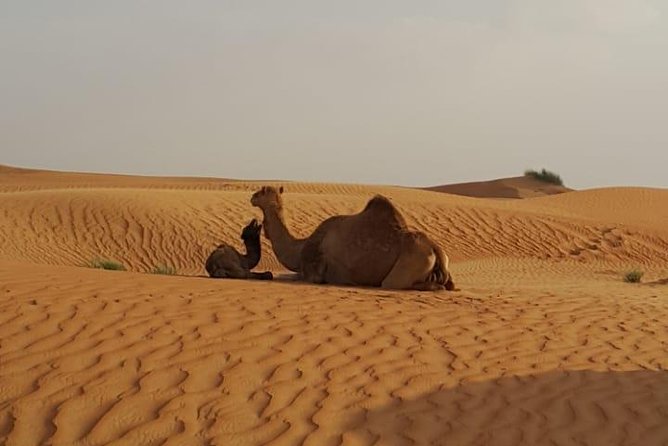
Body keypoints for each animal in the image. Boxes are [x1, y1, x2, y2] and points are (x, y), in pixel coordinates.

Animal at [250, 186, 454, 290]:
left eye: (263, 191)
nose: (252, 197)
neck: (300, 247)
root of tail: (435, 249)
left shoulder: (312, 273)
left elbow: (291, 276)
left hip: (406, 267)